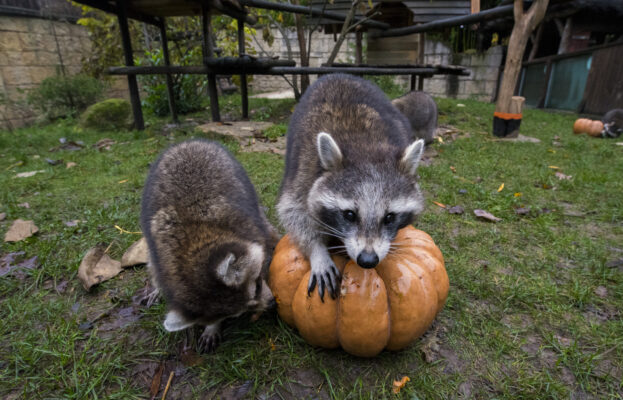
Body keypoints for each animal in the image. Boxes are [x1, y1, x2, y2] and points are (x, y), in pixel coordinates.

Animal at [143, 139, 280, 352]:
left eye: (258, 283)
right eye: (238, 312)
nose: (273, 303)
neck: (193, 248)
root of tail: (190, 142)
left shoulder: (246, 224)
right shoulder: (161, 254)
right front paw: (213, 325)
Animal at [276, 74, 424, 300]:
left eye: (389, 217)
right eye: (349, 215)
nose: (368, 260)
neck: (364, 145)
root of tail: (339, 75)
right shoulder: (305, 169)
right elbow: (293, 210)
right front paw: (317, 251)